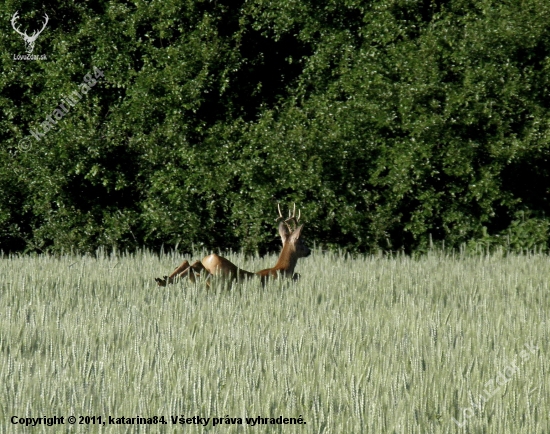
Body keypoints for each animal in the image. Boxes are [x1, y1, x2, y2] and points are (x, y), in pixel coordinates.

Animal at [155, 204, 310, 288]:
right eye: (302, 241)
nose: (309, 251)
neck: (281, 269)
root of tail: (209, 258)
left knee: (189, 262)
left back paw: (163, 280)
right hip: (218, 277)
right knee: (195, 265)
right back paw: (164, 281)